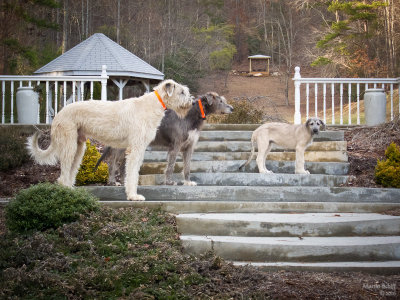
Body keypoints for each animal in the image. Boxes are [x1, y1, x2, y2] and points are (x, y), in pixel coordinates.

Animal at [27, 79, 193, 202]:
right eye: (182, 92)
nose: (192, 102)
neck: (153, 104)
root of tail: (58, 115)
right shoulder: (135, 148)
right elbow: (132, 173)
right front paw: (133, 196)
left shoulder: (140, 148)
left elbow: (134, 171)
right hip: (69, 143)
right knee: (63, 174)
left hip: (79, 146)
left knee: (71, 171)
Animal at [96, 92, 233, 185]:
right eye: (221, 101)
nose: (232, 108)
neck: (191, 116)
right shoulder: (176, 145)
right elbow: (171, 165)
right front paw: (169, 182)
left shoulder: (189, 147)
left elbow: (187, 166)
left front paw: (188, 182)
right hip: (121, 146)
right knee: (112, 163)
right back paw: (112, 181)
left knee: (123, 166)